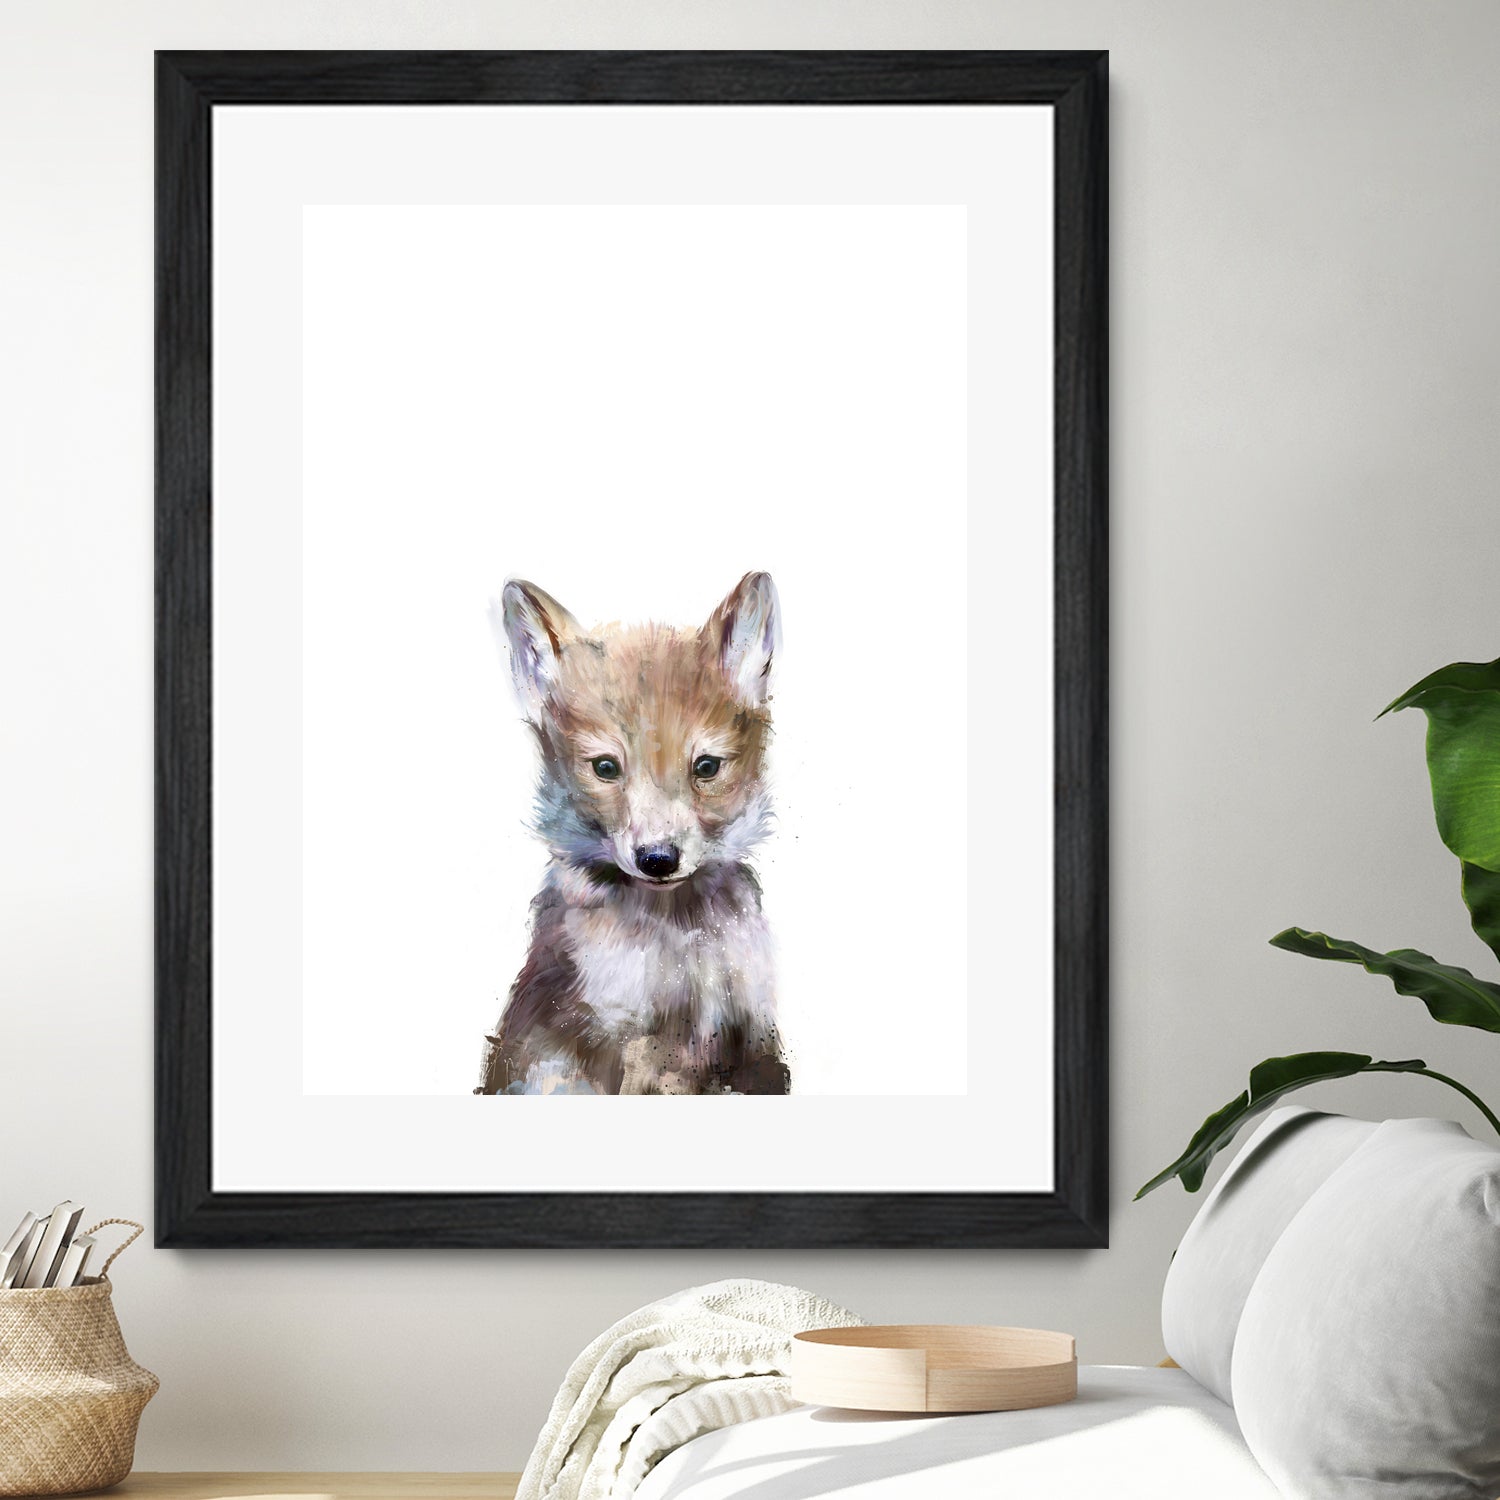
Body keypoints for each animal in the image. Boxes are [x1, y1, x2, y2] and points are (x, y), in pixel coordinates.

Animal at [476, 572, 790, 1096]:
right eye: (606, 767)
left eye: (707, 767)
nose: (658, 859)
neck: (678, 942)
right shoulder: (623, 1040)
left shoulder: (752, 1035)